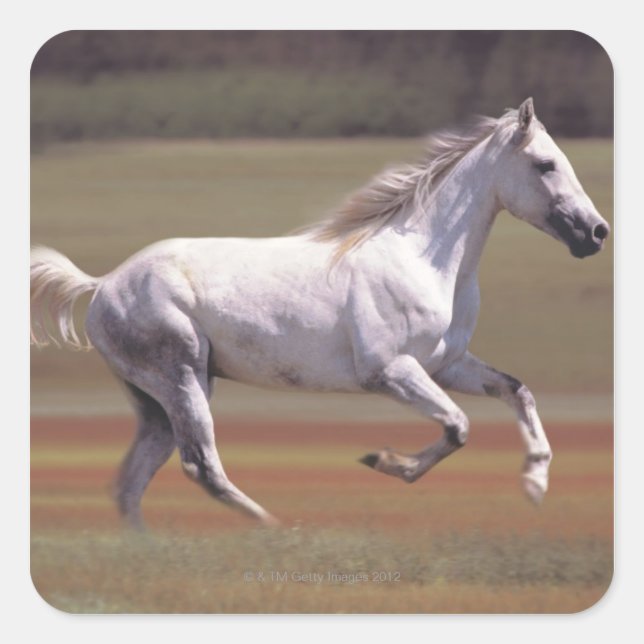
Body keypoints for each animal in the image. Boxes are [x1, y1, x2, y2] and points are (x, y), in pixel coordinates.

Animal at [30, 98, 610, 529]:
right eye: (545, 164)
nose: (597, 232)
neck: (424, 257)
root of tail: (104, 283)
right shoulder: (391, 372)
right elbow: (458, 427)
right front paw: (384, 461)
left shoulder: (449, 365)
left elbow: (517, 392)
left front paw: (535, 484)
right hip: (183, 380)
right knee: (202, 467)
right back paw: (274, 529)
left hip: (155, 400)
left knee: (131, 483)